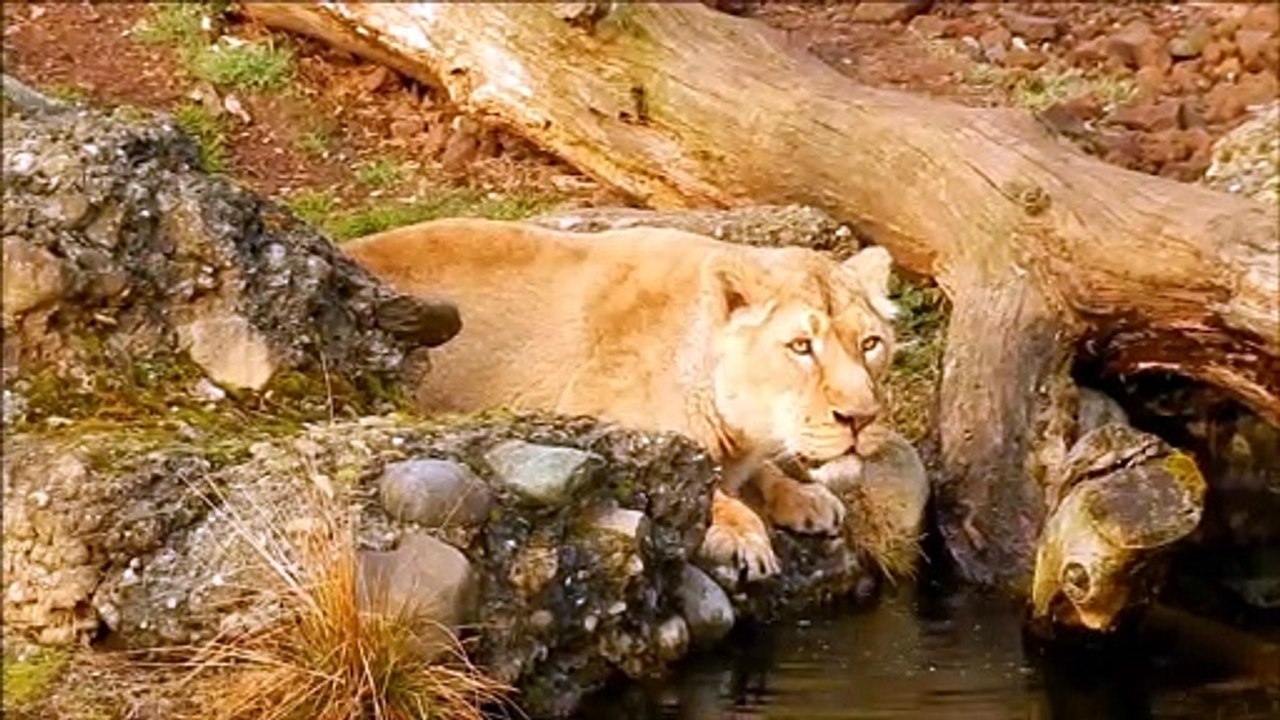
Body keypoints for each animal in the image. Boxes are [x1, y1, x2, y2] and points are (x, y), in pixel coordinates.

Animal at [343, 217, 898, 582]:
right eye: (801, 346)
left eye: (870, 344)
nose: (860, 418)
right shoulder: (585, 415)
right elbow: (692, 482)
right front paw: (743, 535)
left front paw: (805, 497)